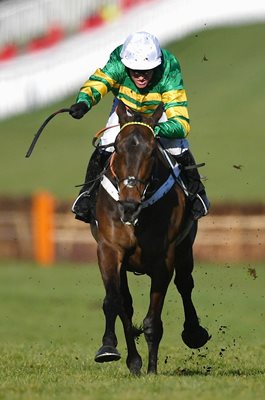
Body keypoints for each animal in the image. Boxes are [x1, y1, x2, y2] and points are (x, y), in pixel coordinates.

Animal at [89, 100, 209, 376]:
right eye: (117, 148)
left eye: (152, 152)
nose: (128, 205)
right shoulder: (109, 250)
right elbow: (115, 302)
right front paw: (114, 351)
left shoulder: (163, 260)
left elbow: (153, 320)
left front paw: (152, 370)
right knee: (126, 302)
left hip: (185, 248)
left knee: (185, 284)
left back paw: (194, 333)